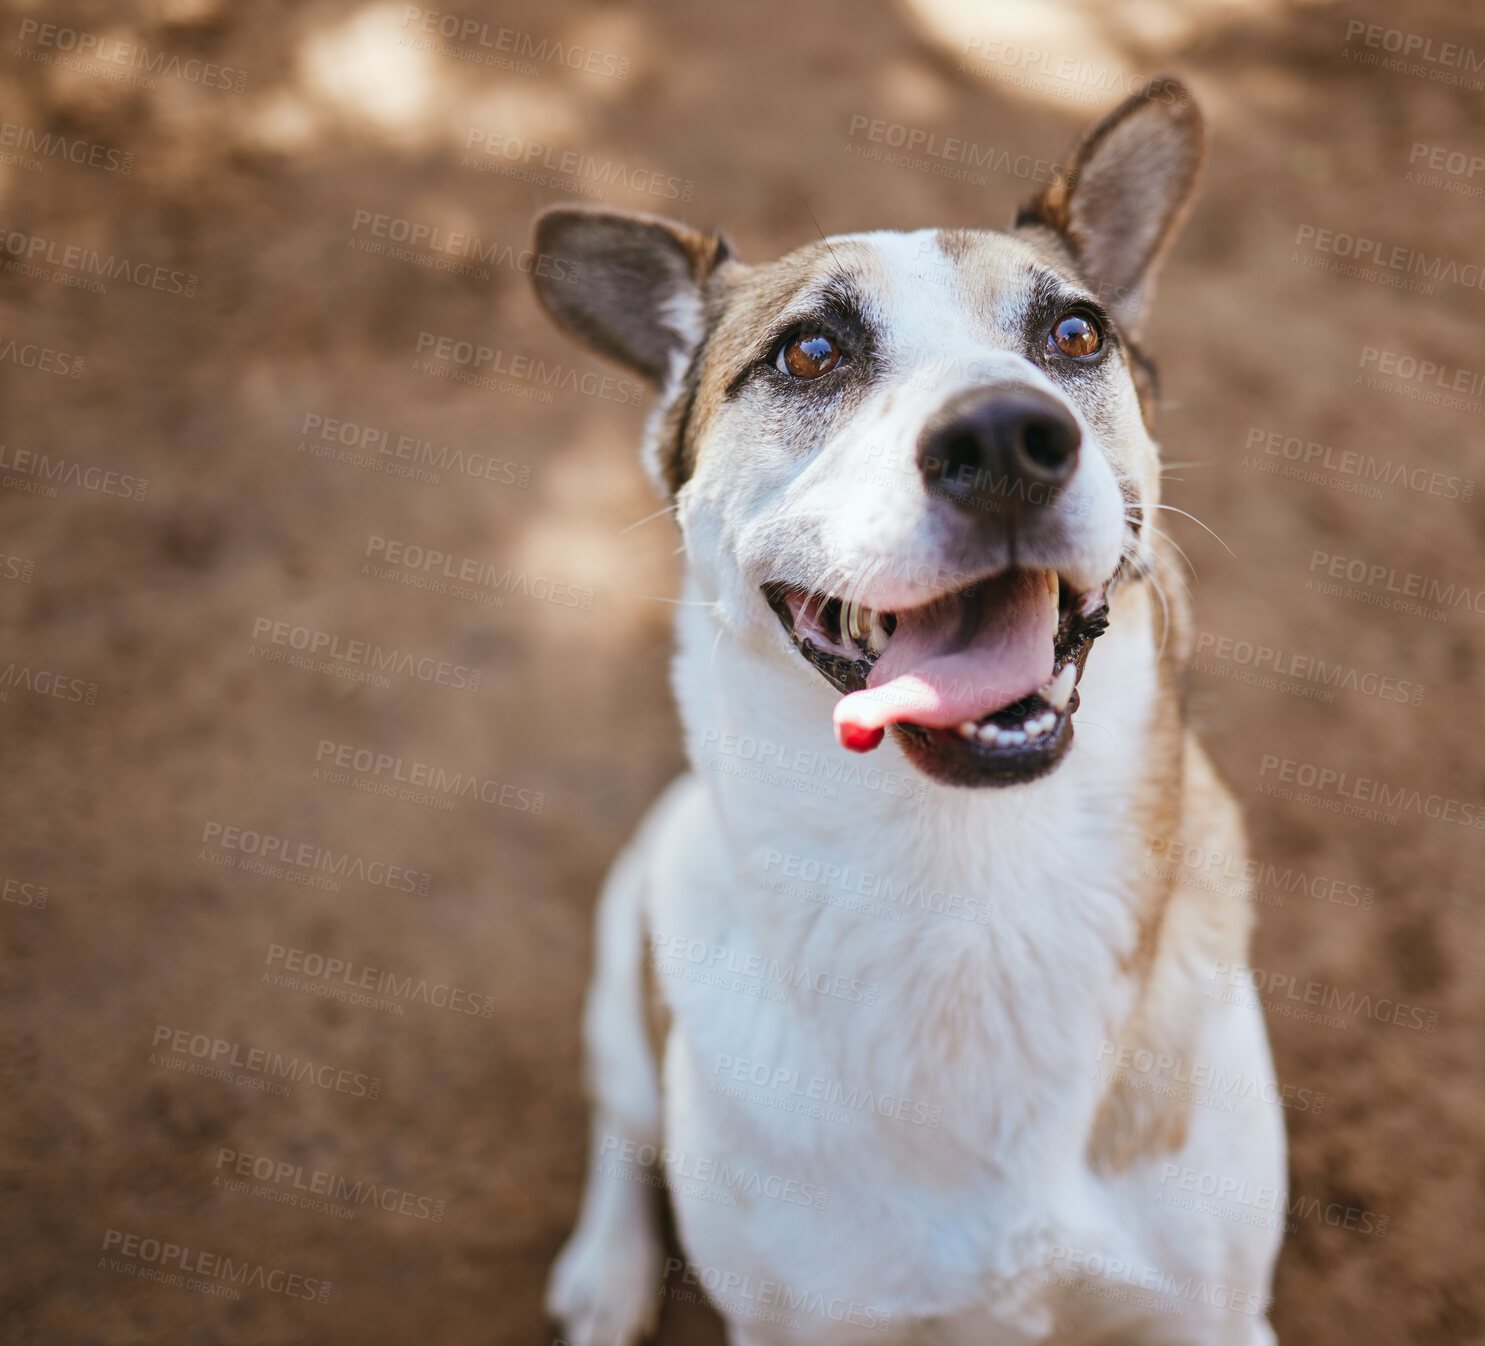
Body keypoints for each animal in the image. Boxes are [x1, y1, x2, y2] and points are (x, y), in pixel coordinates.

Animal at [534, 76, 1288, 1343]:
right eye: (810, 350)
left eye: (1075, 335)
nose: (1006, 439)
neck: (968, 882)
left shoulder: (1211, 1313)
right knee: (619, 1116)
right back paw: (608, 1266)